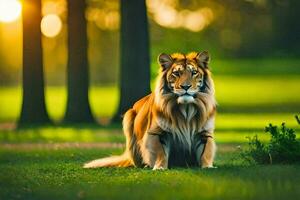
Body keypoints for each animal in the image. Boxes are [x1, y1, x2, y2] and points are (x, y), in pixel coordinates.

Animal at [83, 51, 217, 169]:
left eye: (194, 72)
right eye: (177, 73)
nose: (185, 86)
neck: (186, 109)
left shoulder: (204, 134)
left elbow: (206, 152)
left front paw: (208, 167)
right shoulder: (156, 133)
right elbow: (160, 152)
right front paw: (159, 167)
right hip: (128, 116)